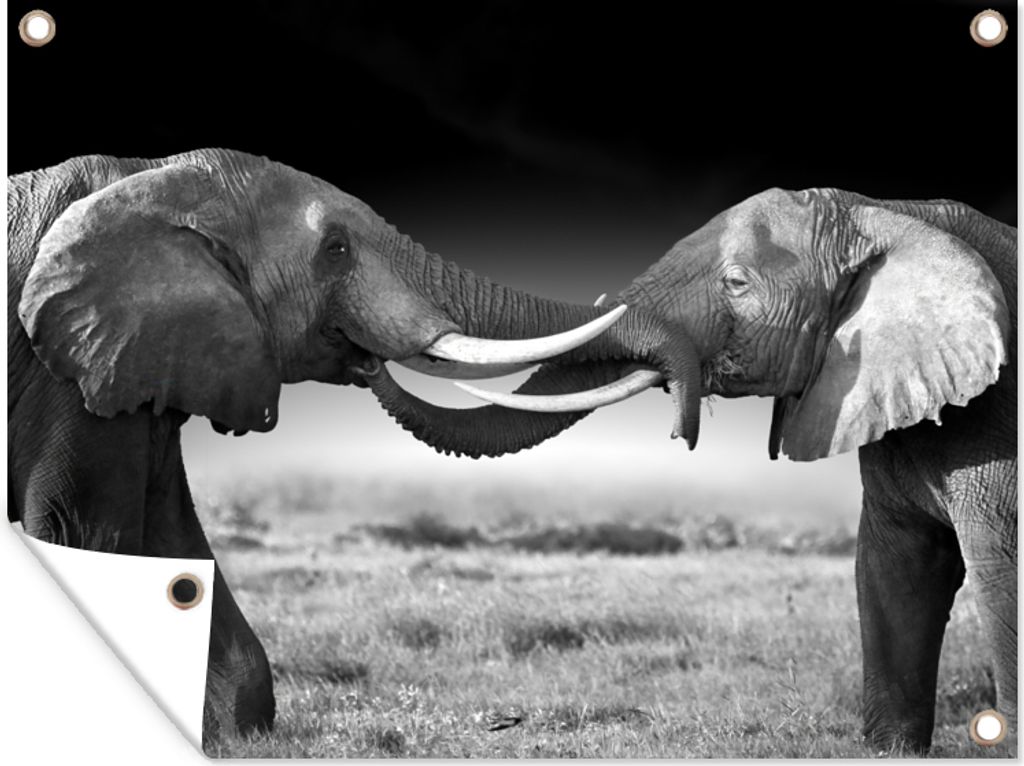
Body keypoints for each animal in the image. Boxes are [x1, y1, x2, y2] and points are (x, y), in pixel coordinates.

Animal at [7, 149, 701, 743]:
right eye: (336, 250)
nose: (682, 429)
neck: (148, 174)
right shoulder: (63, 374)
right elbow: (92, 534)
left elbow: (172, 541)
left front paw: (234, 735)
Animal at [462, 188, 1017, 751]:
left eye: (736, 282)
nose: (680, 432)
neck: (892, 213)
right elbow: (893, 568)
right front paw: (891, 752)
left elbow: (999, 572)